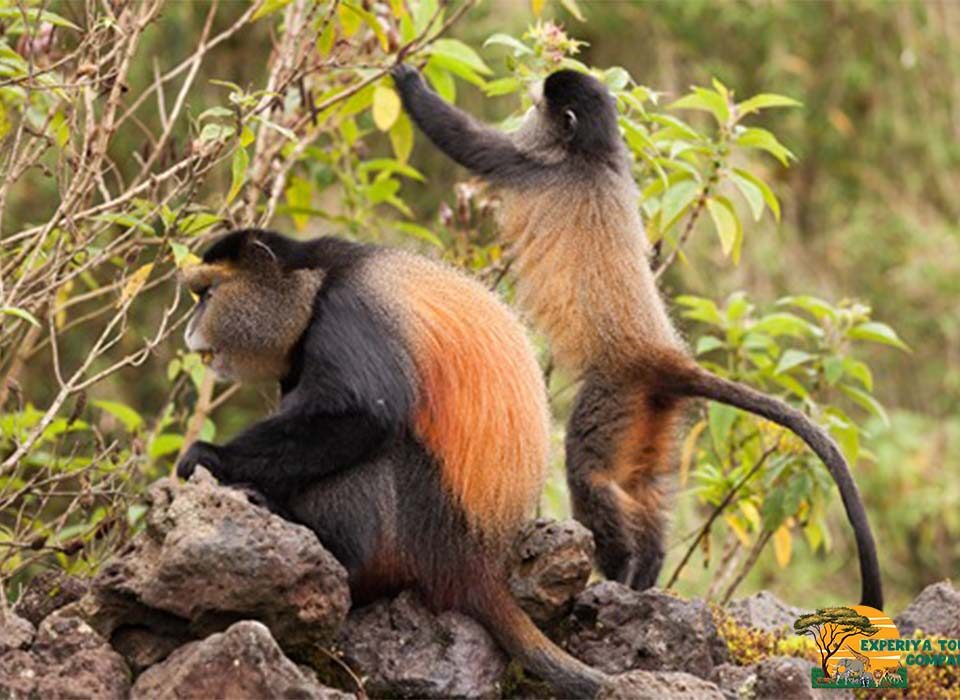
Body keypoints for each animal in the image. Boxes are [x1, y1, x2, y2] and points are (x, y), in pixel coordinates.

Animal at [175, 228, 608, 697]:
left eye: (208, 294)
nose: (189, 330)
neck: (317, 281)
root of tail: (480, 564)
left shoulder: (349, 313)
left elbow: (365, 414)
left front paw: (209, 457)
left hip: (425, 531)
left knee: (379, 451)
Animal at [392, 64, 883, 609]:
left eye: (539, 108)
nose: (527, 112)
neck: (594, 155)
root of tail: (661, 356)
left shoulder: (530, 163)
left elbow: (466, 141)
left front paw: (408, 81)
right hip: (655, 409)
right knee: (644, 486)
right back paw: (645, 569)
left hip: (615, 394)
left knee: (591, 473)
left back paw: (621, 566)